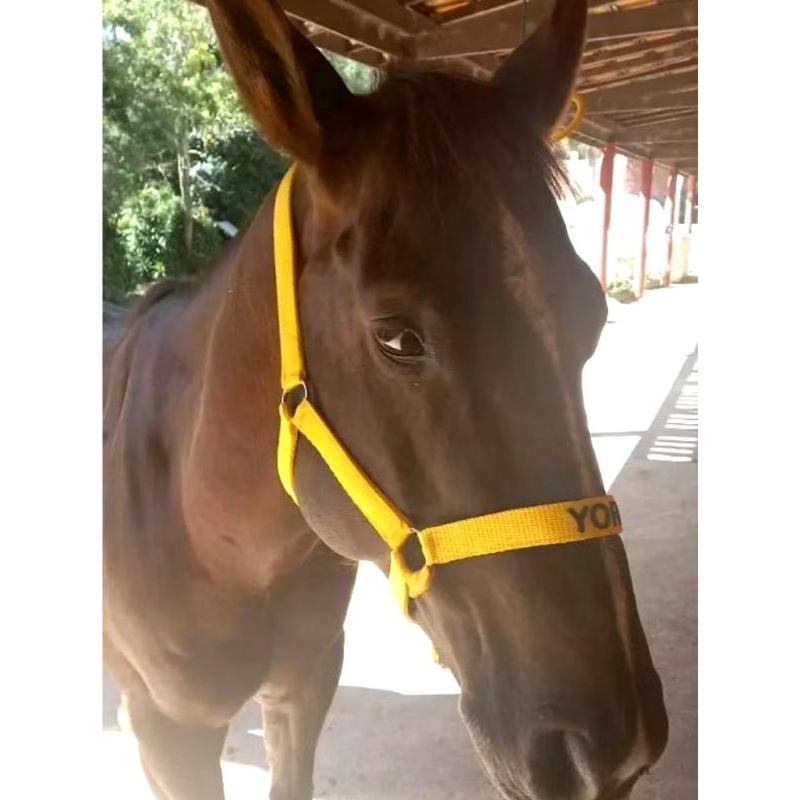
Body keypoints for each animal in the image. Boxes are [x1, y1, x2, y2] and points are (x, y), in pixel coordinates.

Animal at [102, 1, 668, 798]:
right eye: (398, 338)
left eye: (591, 317)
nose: (614, 746)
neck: (203, 529)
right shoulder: (167, 736)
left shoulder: (303, 691)